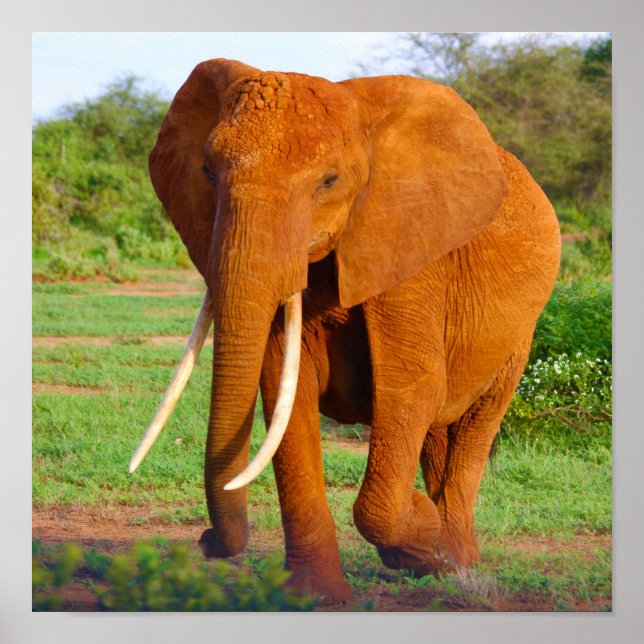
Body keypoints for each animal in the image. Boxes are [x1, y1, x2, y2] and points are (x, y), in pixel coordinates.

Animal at [129, 58, 560, 603]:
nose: (205, 541)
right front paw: (315, 597)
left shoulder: (410, 251)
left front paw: (421, 531)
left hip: (521, 331)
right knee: (439, 431)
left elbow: (411, 389)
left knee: (476, 421)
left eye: (329, 182)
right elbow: (284, 391)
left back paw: (455, 562)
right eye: (207, 172)